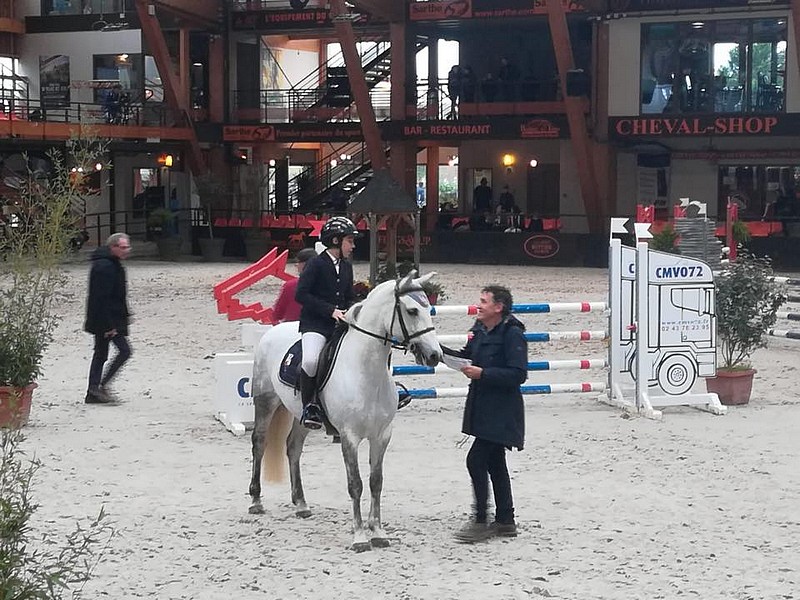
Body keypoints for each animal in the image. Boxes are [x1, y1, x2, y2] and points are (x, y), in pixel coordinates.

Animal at [247, 272, 440, 552]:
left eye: (428, 309)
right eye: (412, 310)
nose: (435, 355)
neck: (367, 373)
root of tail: (273, 331)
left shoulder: (382, 435)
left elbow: (376, 481)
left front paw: (378, 532)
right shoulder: (349, 436)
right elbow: (355, 484)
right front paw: (359, 537)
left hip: (302, 416)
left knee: (293, 447)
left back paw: (301, 504)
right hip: (266, 401)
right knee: (259, 443)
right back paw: (256, 501)